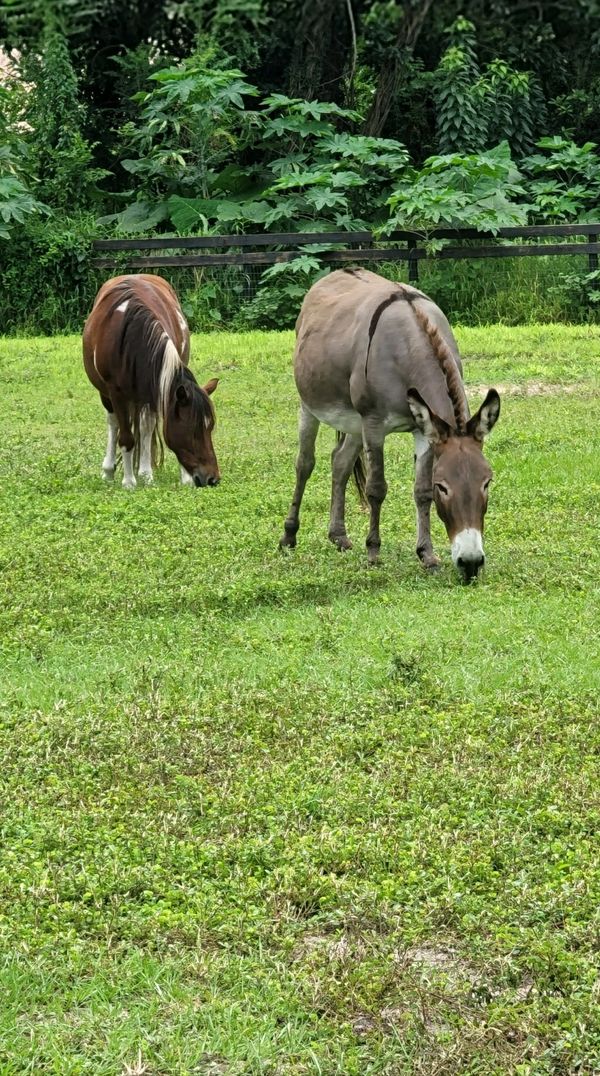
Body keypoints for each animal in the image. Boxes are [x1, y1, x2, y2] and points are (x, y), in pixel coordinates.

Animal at [83, 274, 220, 489]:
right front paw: (128, 481)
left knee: (145, 425)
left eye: (210, 427)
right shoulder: (116, 393)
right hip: (107, 395)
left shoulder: (157, 386)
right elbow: (125, 437)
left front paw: (153, 475)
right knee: (113, 423)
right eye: (193, 430)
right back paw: (109, 470)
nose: (212, 478)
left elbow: (149, 426)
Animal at [279, 268, 501, 581]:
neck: (407, 347)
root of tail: (335, 273)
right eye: (443, 487)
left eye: (487, 482)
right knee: (305, 464)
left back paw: (338, 536)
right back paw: (289, 536)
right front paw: (373, 552)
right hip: (310, 405)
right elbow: (376, 489)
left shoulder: (424, 429)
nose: (470, 563)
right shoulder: (374, 424)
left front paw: (427, 555)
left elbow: (420, 493)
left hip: (353, 422)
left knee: (340, 461)